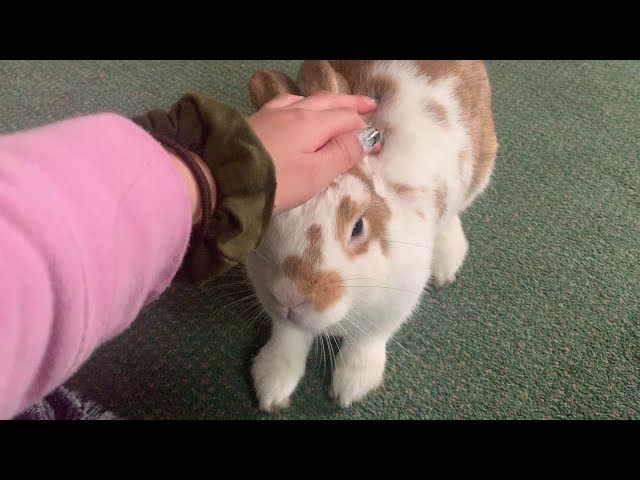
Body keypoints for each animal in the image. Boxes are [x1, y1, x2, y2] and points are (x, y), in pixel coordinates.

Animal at [242, 60, 498, 410]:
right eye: (271, 214)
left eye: (358, 227)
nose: (289, 295)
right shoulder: (279, 314)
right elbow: (287, 337)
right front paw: (272, 386)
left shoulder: (392, 306)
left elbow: (367, 342)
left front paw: (351, 387)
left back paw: (446, 263)